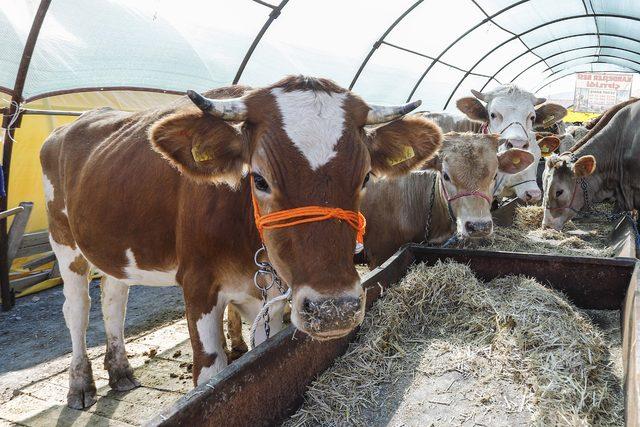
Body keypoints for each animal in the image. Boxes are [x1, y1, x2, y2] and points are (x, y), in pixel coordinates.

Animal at [40, 75, 440, 410]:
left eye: (366, 177)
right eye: (259, 179)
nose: (334, 309)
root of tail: (69, 126)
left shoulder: (272, 299)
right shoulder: (198, 285)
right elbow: (211, 375)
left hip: (114, 246)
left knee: (113, 299)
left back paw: (120, 371)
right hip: (64, 241)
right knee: (77, 308)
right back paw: (80, 385)